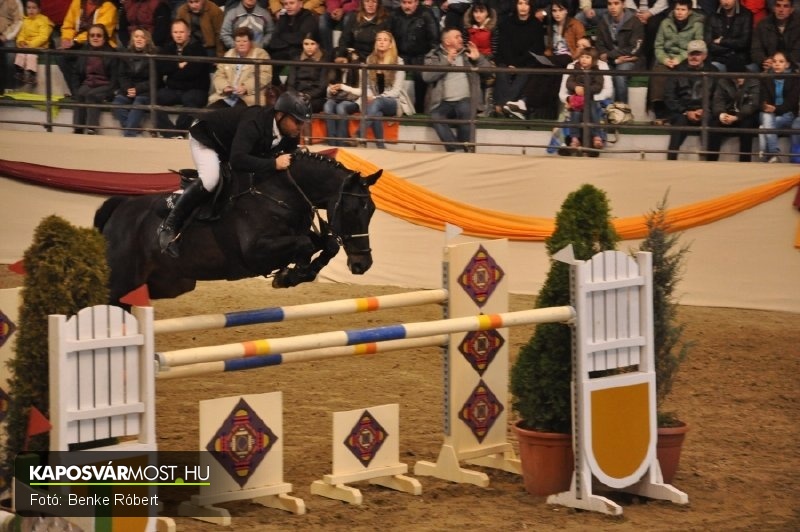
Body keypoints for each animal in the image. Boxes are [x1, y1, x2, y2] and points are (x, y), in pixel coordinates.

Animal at [93, 151, 382, 306]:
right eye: (352, 211)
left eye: (372, 211)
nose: (362, 265)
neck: (279, 192)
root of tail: (120, 207)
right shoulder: (256, 252)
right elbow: (306, 245)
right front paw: (291, 274)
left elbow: (328, 244)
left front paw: (298, 273)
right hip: (120, 280)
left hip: (169, 283)